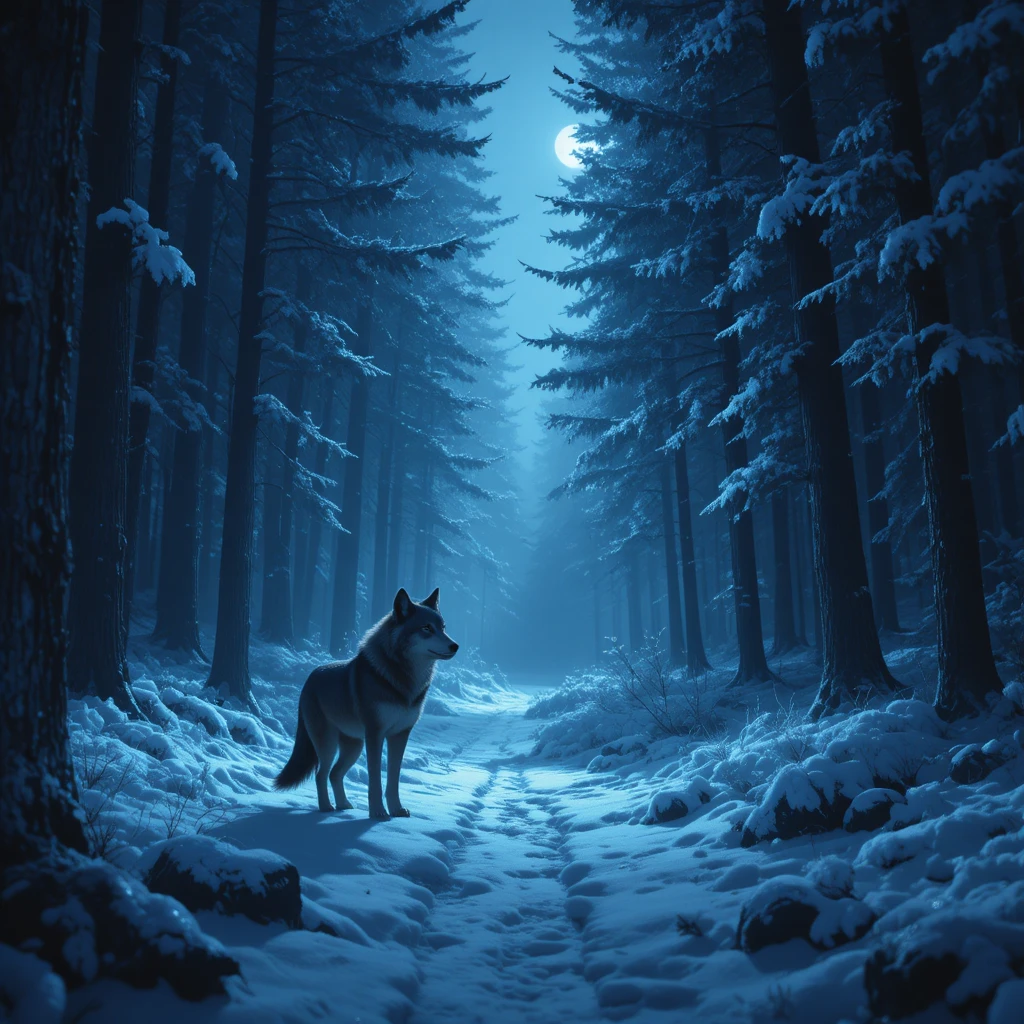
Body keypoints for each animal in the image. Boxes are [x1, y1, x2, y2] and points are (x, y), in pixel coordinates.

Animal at [273, 588, 457, 818]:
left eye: (443, 628)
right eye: (426, 628)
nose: (455, 645)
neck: (403, 682)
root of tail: (310, 678)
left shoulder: (400, 735)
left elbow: (393, 780)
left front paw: (396, 810)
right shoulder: (375, 735)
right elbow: (375, 780)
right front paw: (378, 812)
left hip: (354, 747)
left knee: (334, 774)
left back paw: (343, 805)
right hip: (329, 744)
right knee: (321, 774)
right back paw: (326, 808)